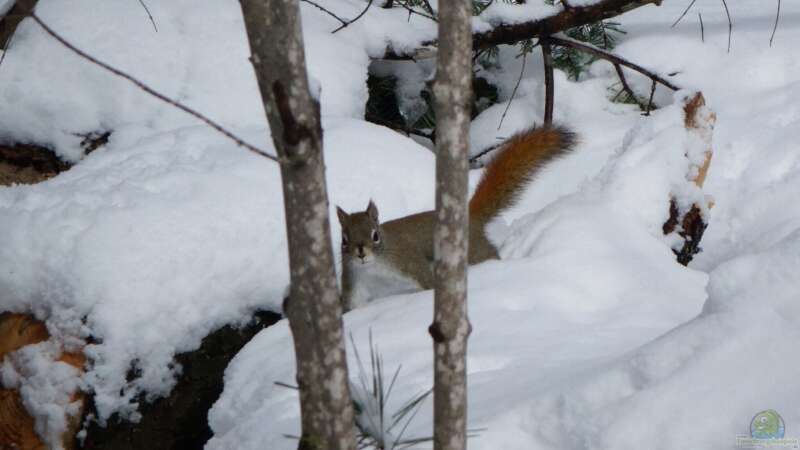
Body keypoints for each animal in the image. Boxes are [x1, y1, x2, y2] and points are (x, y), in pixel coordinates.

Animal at [336, 125, 576, 312]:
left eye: (375, 235)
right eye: (344, 240)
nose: (360, 252)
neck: (373, 267)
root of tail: (470, 219)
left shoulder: (409, 261)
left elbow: (428, 282)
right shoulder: (354, 280)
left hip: (474, 253)